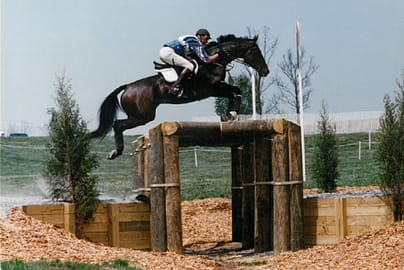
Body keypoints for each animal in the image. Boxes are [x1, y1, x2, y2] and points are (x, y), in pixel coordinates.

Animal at [90, 34, 270, 159]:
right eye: (255, 51)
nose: (266, 71)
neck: (213, 62)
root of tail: (127, 87)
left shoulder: (218, 87)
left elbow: (236, 91)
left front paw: (229, 116)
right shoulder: (211, 89)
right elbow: (233, 92)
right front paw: (230, 114)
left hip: (140, 116)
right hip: (142, 116)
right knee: (118, 125)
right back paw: (115, 152)